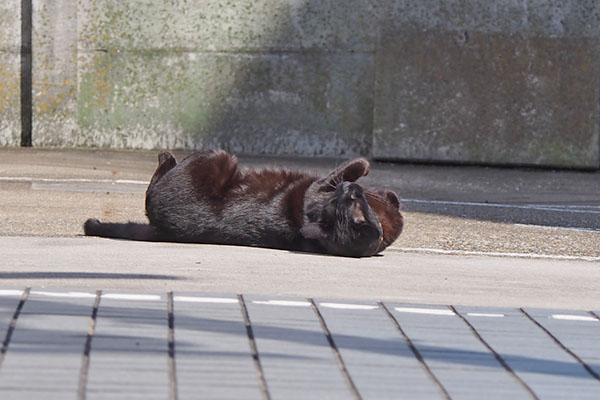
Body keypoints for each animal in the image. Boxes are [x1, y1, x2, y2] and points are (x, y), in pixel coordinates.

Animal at [84, 149, 404, 256]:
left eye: (348, 200)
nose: (348, 188)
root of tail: (164, 231)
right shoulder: (320, 187)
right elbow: (348, 169)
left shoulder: (318, 189)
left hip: (218, 157)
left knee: (153, 187)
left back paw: (167, 156)